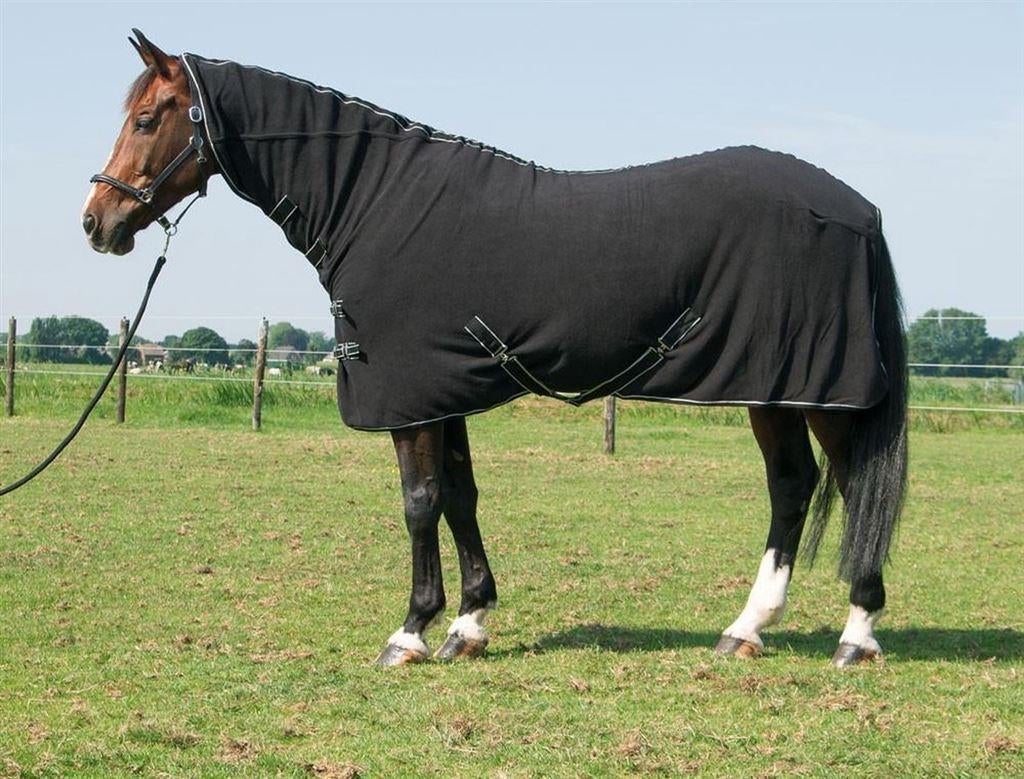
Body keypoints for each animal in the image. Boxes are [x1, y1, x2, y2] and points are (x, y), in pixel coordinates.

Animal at [82, 30, 908, 668]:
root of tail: (858, 209)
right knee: (794, 486)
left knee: (843, 482)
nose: (97, 220)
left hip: (815, 389)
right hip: (777, 390)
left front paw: (410, 631)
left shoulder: (411, 397)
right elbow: (460, 496)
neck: (377, 203)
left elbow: (419, 503)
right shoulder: (442, 387)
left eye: (149, 117)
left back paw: (856, 635)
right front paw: (469, 622)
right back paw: (745, 629)